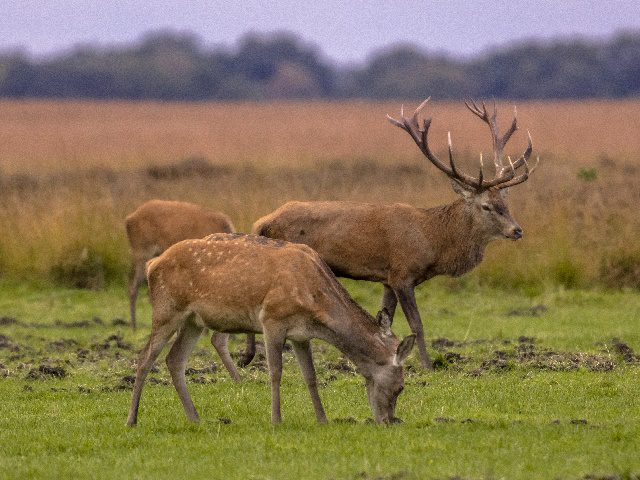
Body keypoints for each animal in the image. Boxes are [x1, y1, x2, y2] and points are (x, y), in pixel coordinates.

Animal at [126, 234, 416, 426]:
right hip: (166, 310)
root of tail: (152, 264)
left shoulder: (301, 335)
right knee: (144, 358)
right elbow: (275, 372)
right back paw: (132, 420)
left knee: (174, 359)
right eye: (401, 386)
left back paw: (195, 418)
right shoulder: (272, 320)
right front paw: (276, 419)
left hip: (193, 321)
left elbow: (310, 376)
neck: (314, 301)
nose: (390, 421)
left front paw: (322, 419)